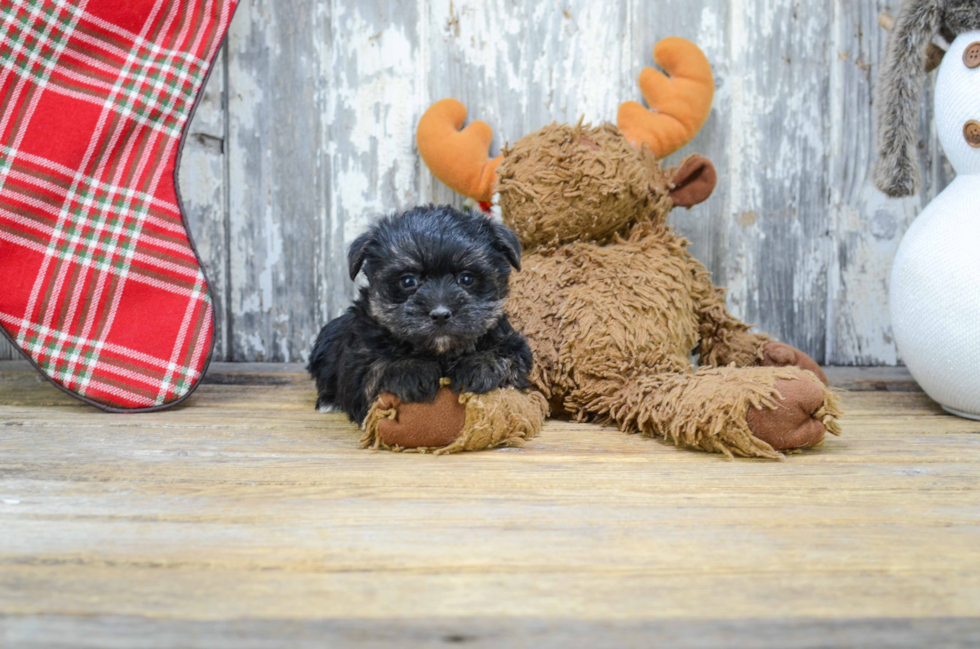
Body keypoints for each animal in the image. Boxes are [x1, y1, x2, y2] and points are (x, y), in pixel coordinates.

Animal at [310, 205, 532, 422]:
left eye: (466, 278)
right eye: (408, 281)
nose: (441, 314)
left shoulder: (513, 343)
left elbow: (508, 355)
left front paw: (482, 364)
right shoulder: (357, 364)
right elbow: (375, 368)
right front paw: (410, 369)